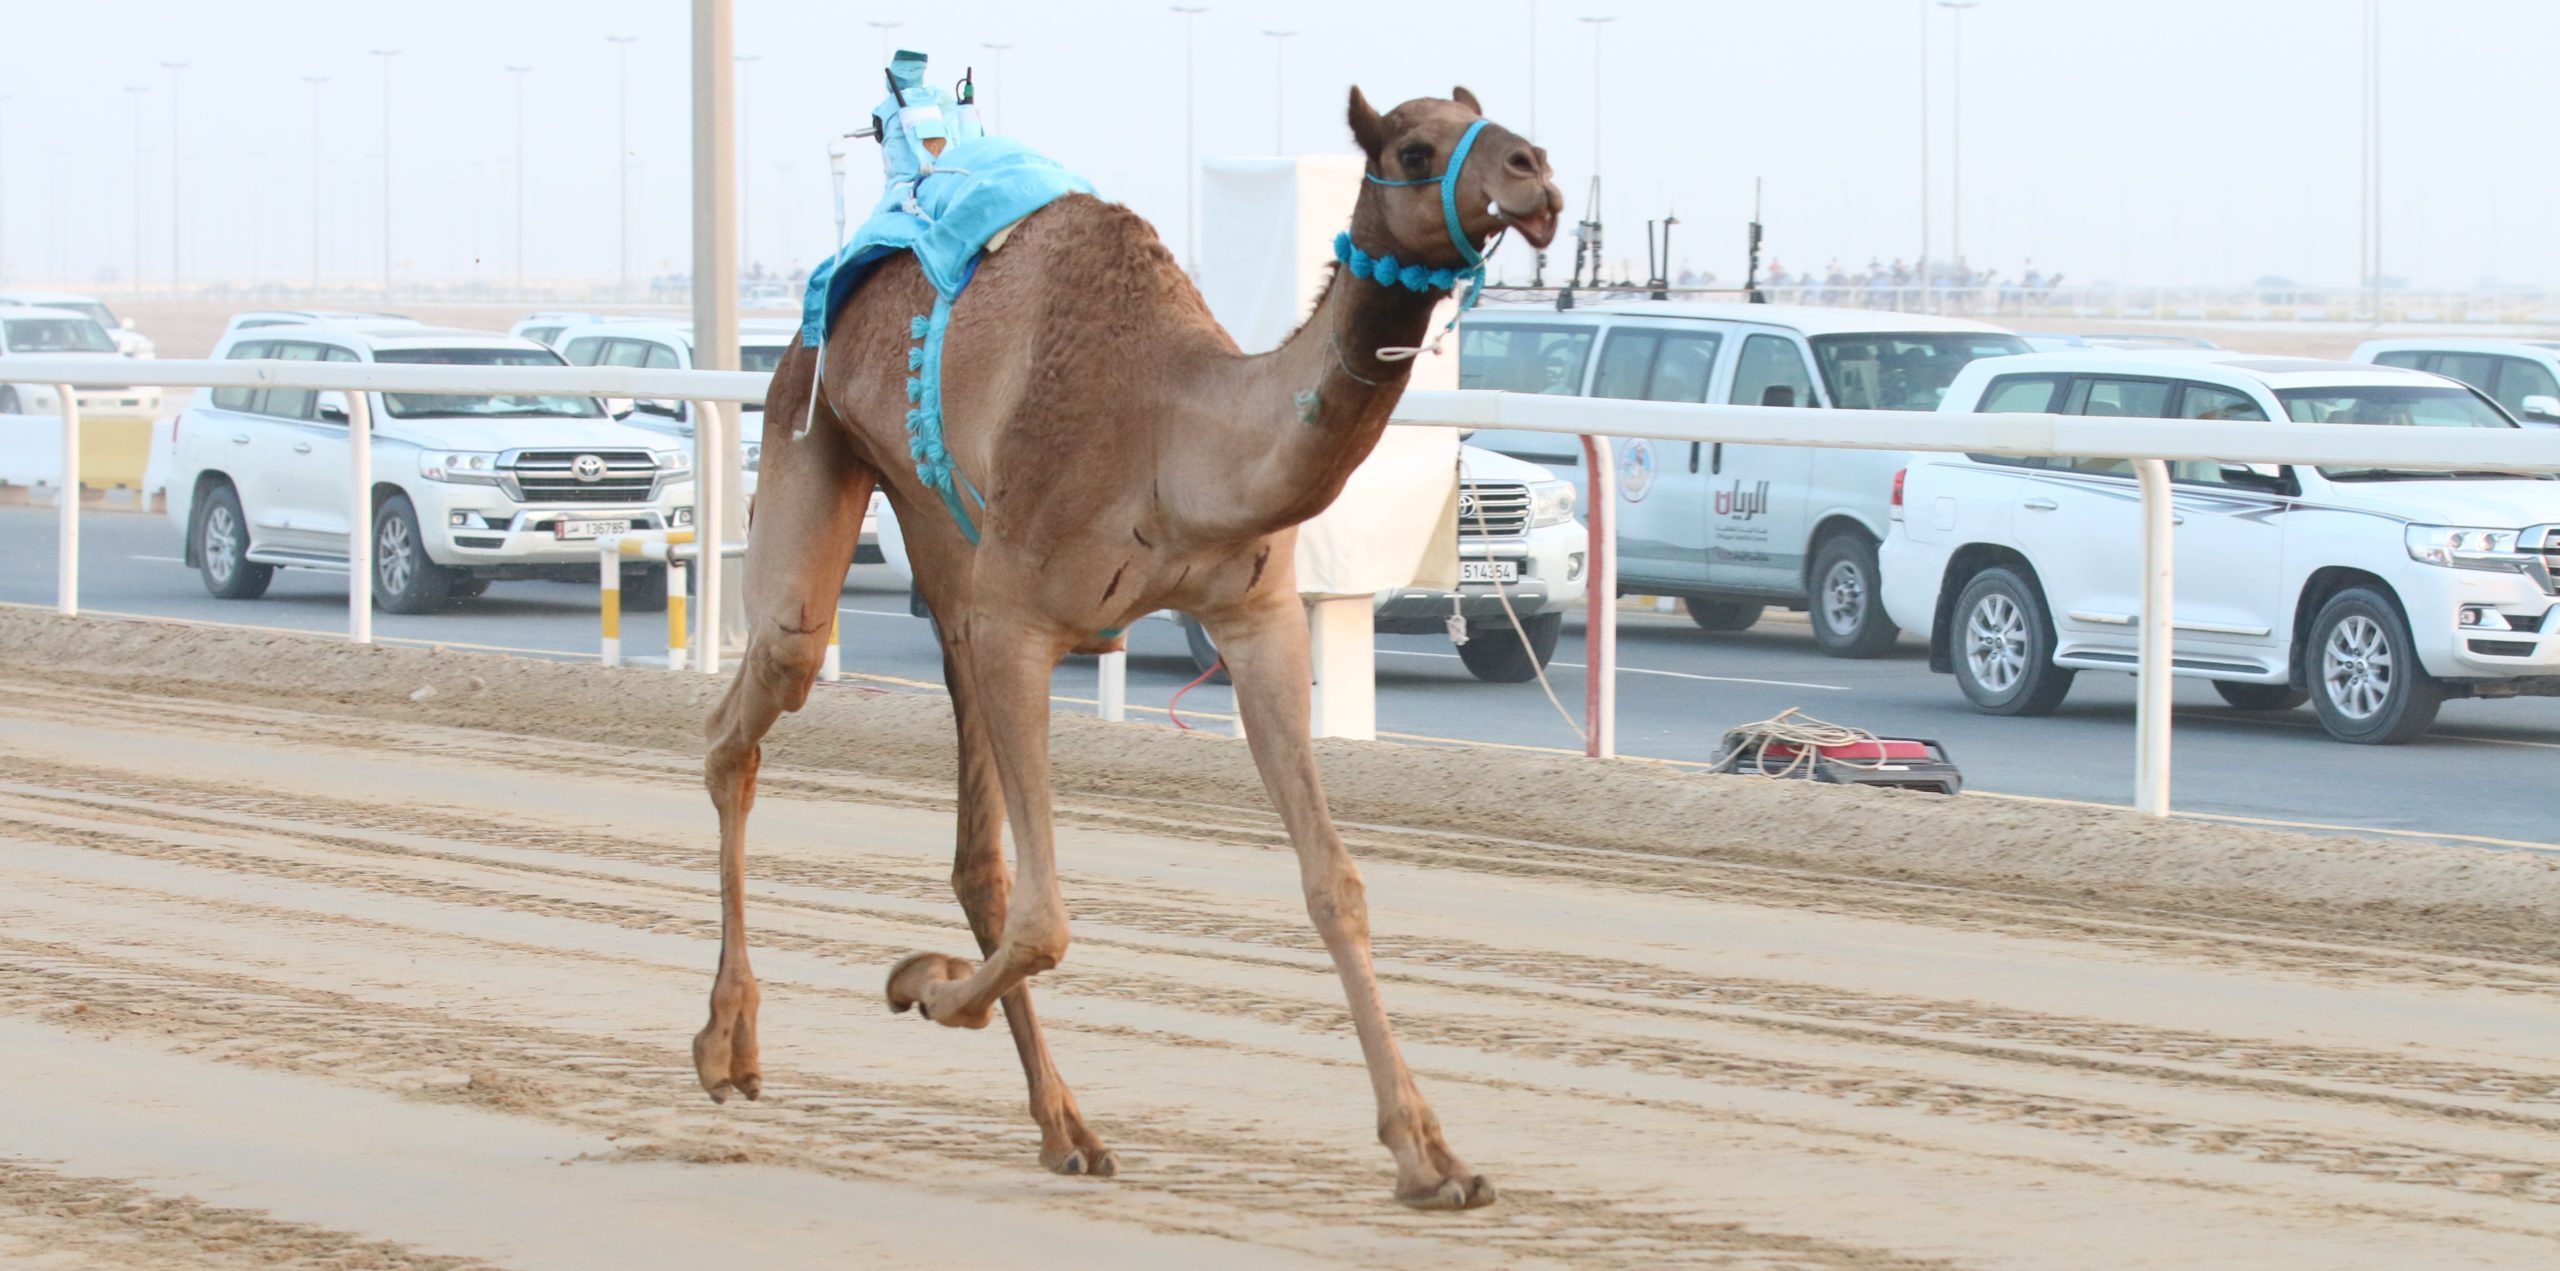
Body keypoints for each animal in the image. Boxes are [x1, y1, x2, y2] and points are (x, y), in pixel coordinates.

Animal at [691, 84, 1556, 1204]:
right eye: (1413, 147)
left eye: (1494, 123)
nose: (1536, 176)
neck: (1174, 435)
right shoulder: (1024, 619)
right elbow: (1048, 917)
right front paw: (921, 984)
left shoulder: (1258, 618)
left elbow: (1335, 883)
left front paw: (1431, 1155)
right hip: (814, 424)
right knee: (750, 710)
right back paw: (729, 1045)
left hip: (942, 532)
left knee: (974, 849)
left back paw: (1064, 1124)